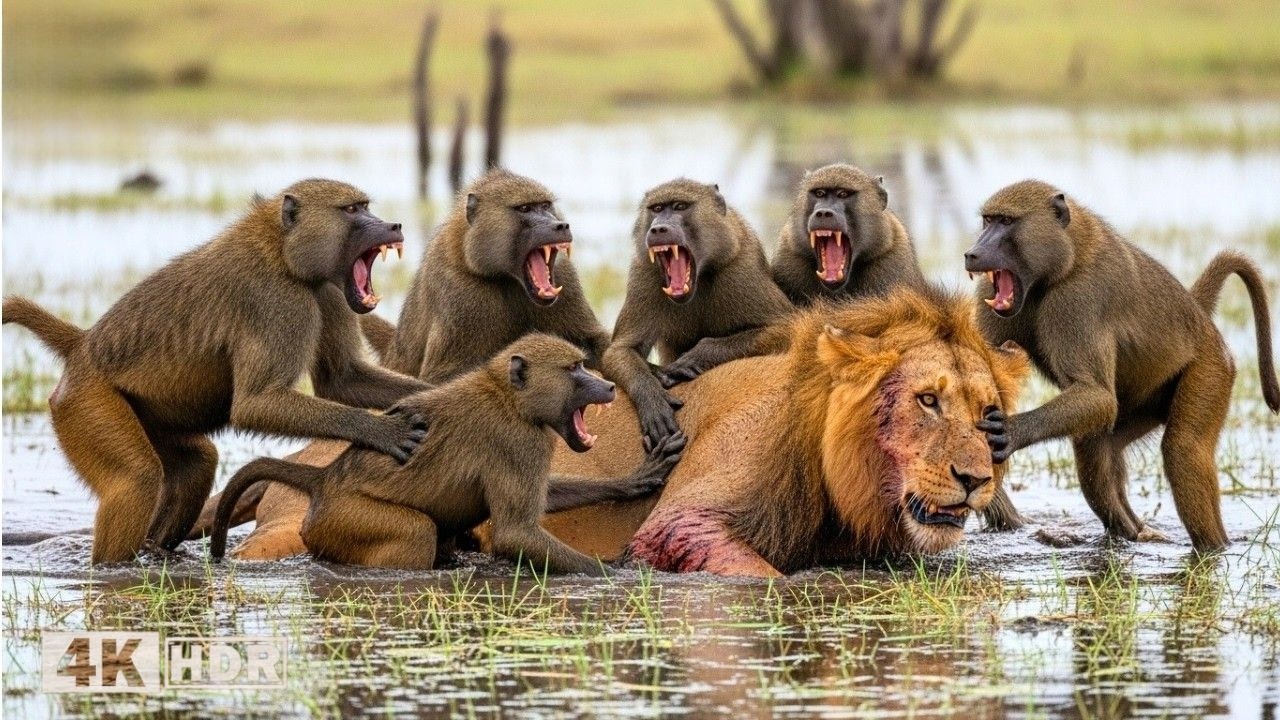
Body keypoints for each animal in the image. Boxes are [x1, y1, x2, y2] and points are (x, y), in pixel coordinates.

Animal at [200, 286, 1029, 576]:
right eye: (926, 400)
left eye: (987, 412)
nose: (974, 479)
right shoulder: (685, 520)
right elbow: (755, 576)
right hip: (303, 524)